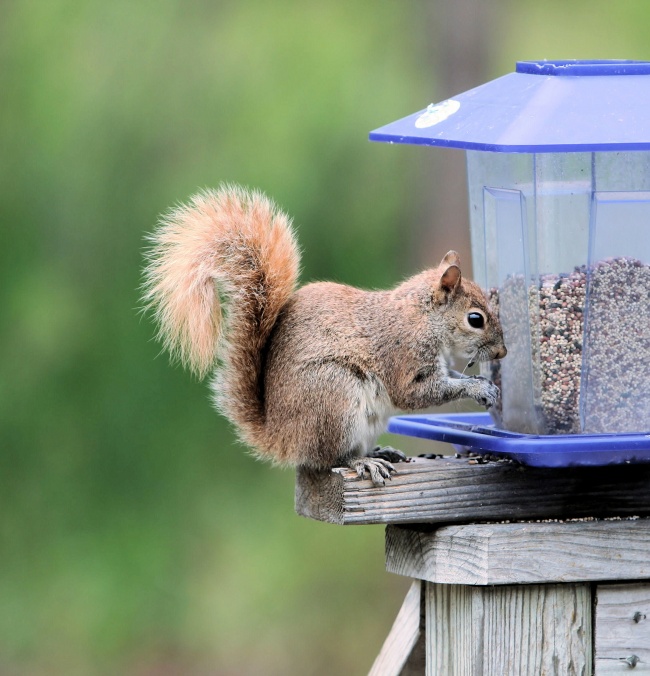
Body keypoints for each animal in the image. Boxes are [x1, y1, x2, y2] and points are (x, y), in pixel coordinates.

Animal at [142, 185, 506, 486]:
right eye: (475, 319)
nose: (502, 352)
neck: (423, 316)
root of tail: (281, 437)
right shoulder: (403, 356)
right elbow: (416, 393)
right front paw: (480, 388)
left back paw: (379, 452)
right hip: (335, 395)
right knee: (331, 459)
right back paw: (363, 463)